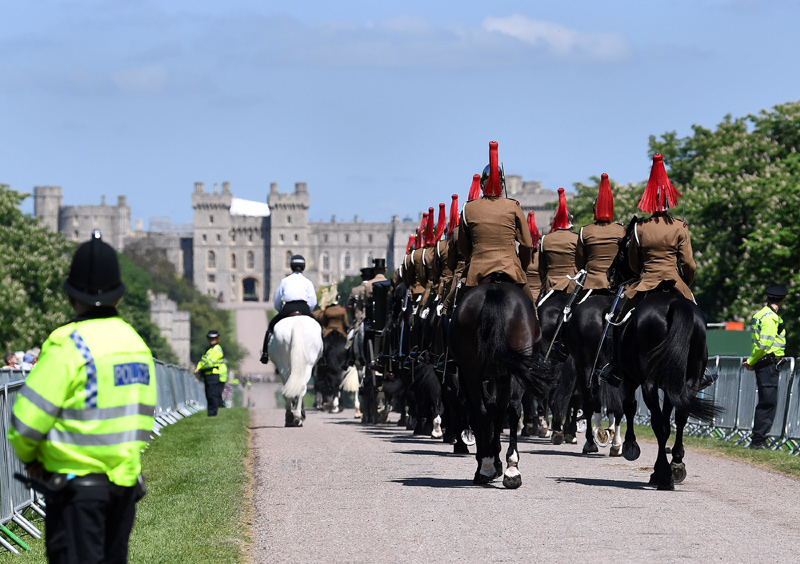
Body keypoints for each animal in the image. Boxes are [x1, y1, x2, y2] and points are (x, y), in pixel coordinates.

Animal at [446, 282, 552, 490]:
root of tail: (494, 290)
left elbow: (489, 413)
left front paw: (489, 460)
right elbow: (497, 412)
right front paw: (494, 461)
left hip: (473, 372)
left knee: (484, 411)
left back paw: (491, 466)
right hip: (507, 370)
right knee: (510, 409)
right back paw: (510, 469)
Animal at [608, 218, 720, 492]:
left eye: (621, 244)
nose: (611, 277)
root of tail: (674, 305)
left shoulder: (630, 378)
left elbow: (630, 406)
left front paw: (631, 447)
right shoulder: (671, 382)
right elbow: (672, 417)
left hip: (647, 382)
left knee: (659, 423)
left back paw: (663, 474)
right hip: (689, 379)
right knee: (680, 416)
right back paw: (676, 466)